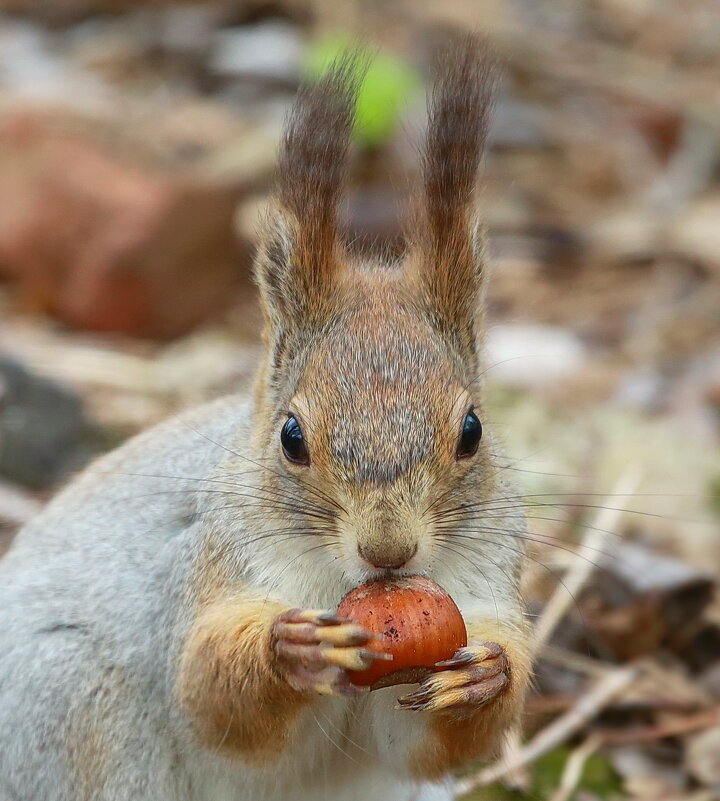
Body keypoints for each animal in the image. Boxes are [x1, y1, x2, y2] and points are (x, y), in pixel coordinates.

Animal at [0, 39, 528, 800]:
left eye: (473, 431)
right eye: (291, 437)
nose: (388, 550)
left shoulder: (485, 584)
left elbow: (423, 744)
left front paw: (488, 675)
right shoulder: (209, 562)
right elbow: (210, 695)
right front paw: (291, 648)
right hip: (73, 708)